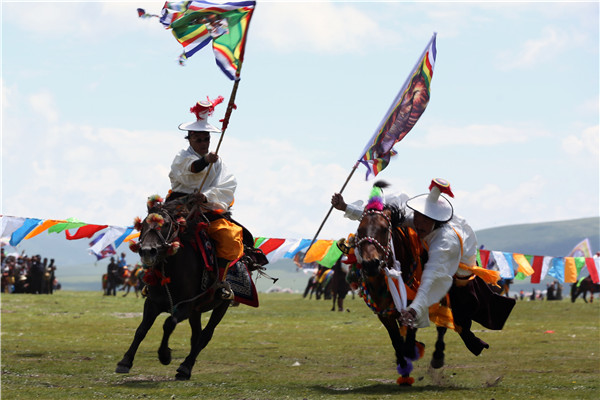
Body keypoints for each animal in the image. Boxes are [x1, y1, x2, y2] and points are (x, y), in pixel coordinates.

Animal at [116, 198, 233, 380]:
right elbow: (141, 329)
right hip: (196, 311)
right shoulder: (153, 303)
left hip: (222, 305)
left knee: (205, 335)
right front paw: (125, 361)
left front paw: (165, 355)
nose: (147, 251)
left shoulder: (186, 305)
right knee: (196, 335)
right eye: (143, 224)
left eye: (166, 225)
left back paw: (185, 367)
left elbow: (169, 323)